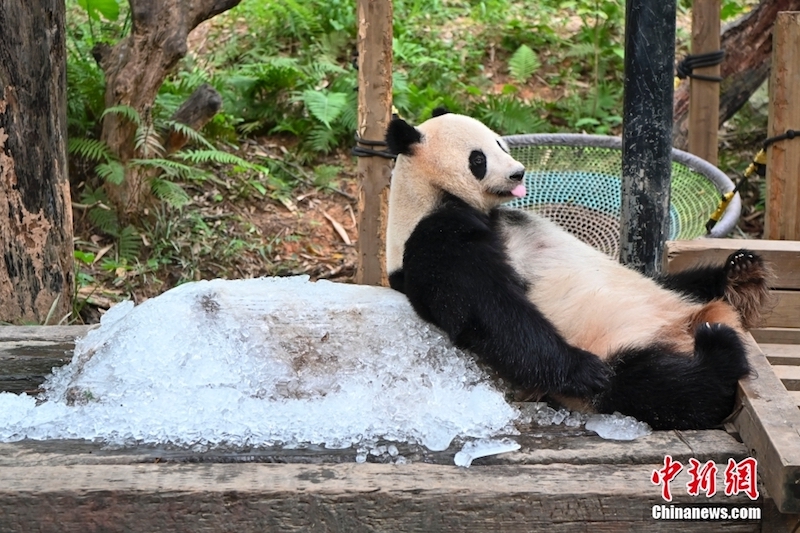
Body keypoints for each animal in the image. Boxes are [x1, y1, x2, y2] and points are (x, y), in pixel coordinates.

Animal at [384, 110, 772, 430]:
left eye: (498, 142)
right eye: (477, 158)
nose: (517, 172)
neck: (429, 195)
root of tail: (689, 324)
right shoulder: (433, 239)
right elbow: (488, 308)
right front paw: (582, 369)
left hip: (674, 297)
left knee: (684, 284)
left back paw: (739, 276)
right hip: (618, 345)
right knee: (655, 386)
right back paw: (718, 350)